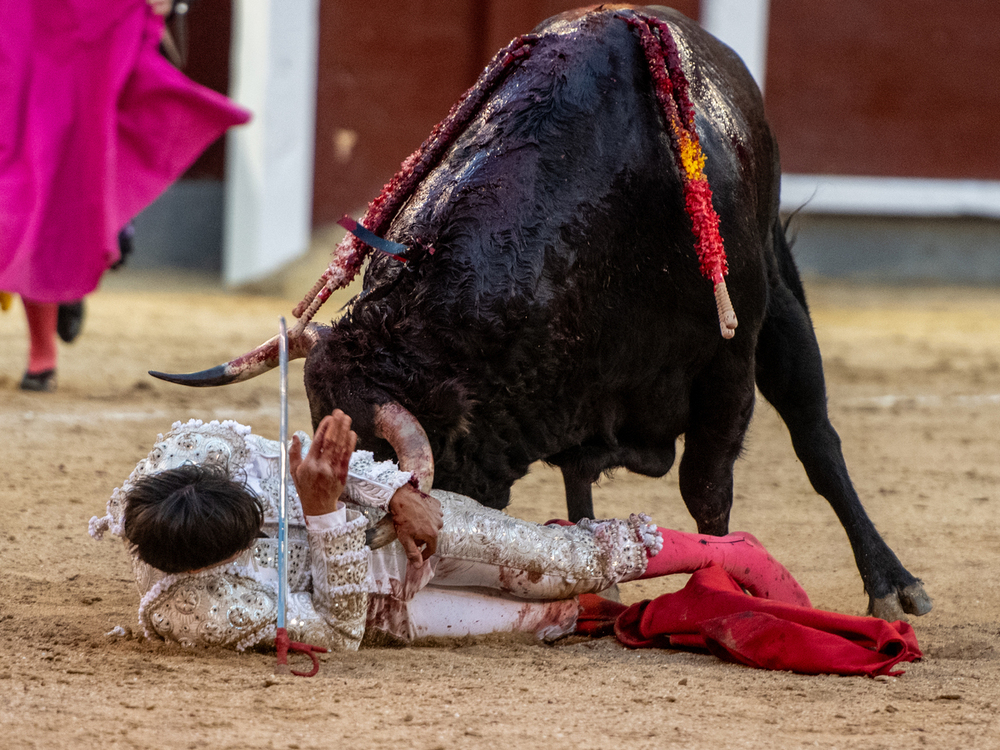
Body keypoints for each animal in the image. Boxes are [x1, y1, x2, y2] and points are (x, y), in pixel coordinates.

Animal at [152, 5, 932, 624]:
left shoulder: (726, 370)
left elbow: (708, 490)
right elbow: (582, 481)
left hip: (779, 299)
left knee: (815, 436)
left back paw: (891, 585)